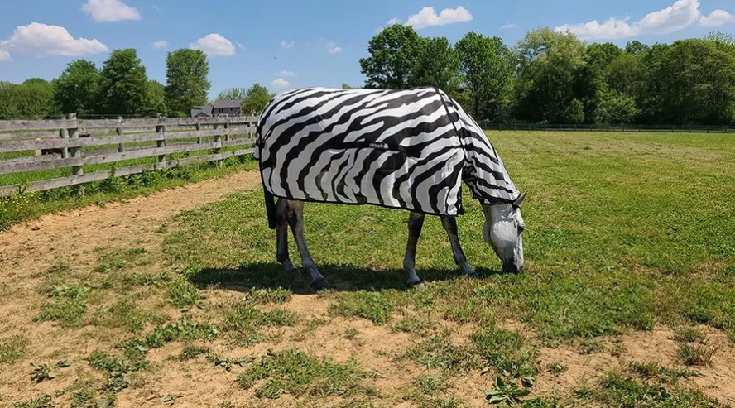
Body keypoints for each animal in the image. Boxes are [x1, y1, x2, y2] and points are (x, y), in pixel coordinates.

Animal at [252, 87, 524, 288]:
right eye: (520, 228)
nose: (519, 269)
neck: (462, 139)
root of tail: (269, 106)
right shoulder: (428, 183)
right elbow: (418, 229)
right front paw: (413, 273)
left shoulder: (438, 186)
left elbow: (449, 226)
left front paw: (465, 266)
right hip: (292, 178)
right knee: (295, 222)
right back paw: (314, 273)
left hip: (285, 182)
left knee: (281, 214)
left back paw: (286, 262)